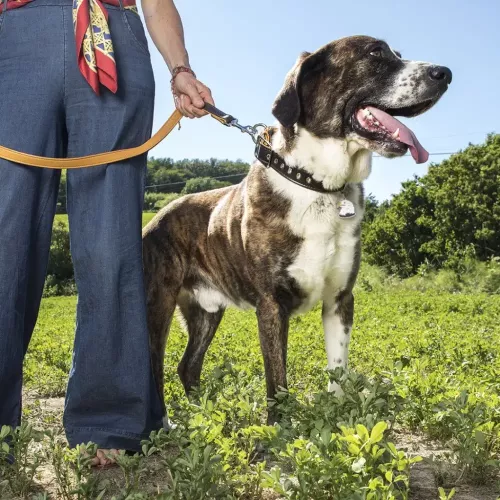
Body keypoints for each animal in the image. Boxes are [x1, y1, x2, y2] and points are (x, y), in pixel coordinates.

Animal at [143, 33, 452, 420]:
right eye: (375, 52)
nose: (445, 73)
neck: (317, 183)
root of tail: (157, 217)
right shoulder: (272, 305)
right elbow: (277, 380)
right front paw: (279, 426)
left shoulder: (340, 299)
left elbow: (338, 369)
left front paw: (337, 414)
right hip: (159, 304)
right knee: (154, 365)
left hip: (206, 313)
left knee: (188, 365)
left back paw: (205, 414)